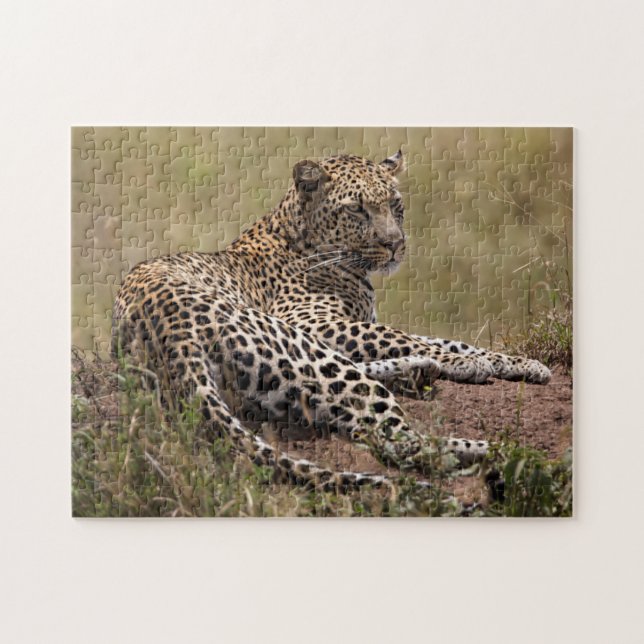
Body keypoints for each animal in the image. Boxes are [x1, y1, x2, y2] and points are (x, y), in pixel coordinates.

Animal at [112, 151, 551, 491]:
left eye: (394, 203)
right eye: (356, 208)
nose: (395, 244)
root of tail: (170, 329)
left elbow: (438, 339)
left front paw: (521, 363)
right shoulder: (313, 322)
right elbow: (405, 337)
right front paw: (471, 363)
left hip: (278, 379)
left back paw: (420, 373)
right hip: (292, 341)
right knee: (399, 441)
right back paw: (505, 451)